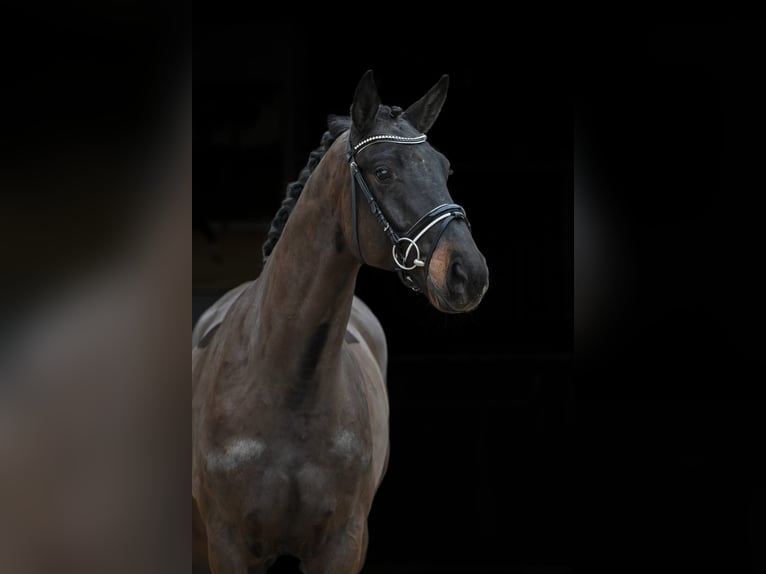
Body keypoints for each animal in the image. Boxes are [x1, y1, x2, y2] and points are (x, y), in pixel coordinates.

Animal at [192, 70, 489, 573]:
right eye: (383, 171)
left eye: (445, 169)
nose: (468, 274)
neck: (286, 387)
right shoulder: (226, 545)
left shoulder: (343, 544)